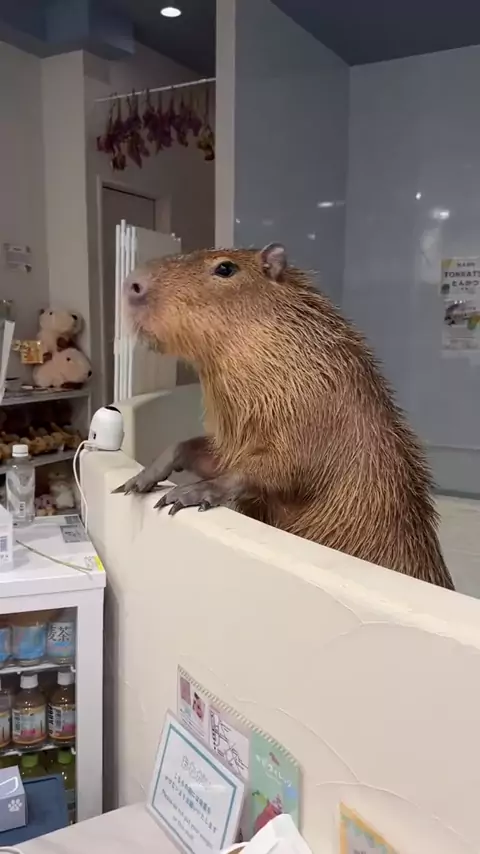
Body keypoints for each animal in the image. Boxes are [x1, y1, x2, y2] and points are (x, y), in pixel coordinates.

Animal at [115, 243, 454, 590]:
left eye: (225, 268)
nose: (133, 283)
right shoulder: (235, 440)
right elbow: (197, 452)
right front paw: (140, 479)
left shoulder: (319, 413)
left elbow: (281, 469)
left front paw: (190, 493)